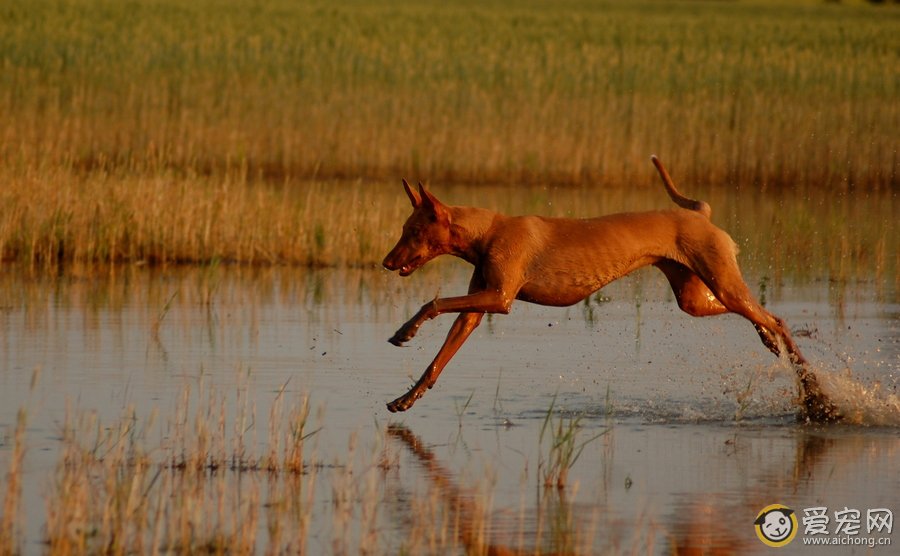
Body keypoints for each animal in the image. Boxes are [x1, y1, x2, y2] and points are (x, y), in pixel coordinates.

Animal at [384, 156, 840, 422]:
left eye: (413, 231)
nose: (385, 262)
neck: (487, 232)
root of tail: (701, 214)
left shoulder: (499, 299)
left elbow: (433, 302)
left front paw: (404, 330)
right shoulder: (477, 308)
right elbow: (438, 361)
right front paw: (407, 396)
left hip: (723, 282)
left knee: (777, 319)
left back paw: (815, 392)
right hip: (696, 298)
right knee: (762, 316)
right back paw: (771, 345)